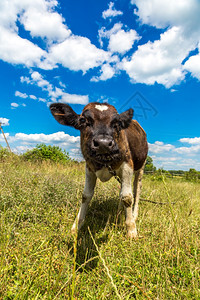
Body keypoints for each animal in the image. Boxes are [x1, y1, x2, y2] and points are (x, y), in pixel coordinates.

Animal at [49, 102, 148, 238]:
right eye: (83, 120)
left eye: (117, 123)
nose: (103, 143)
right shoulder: (89, 167)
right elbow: (86, 195)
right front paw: (76, 226)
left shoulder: (127, 164)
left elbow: (127, 197)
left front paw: (131, 230)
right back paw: (119, 212)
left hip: (141, 167)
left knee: (137, 189)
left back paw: (134, 214)